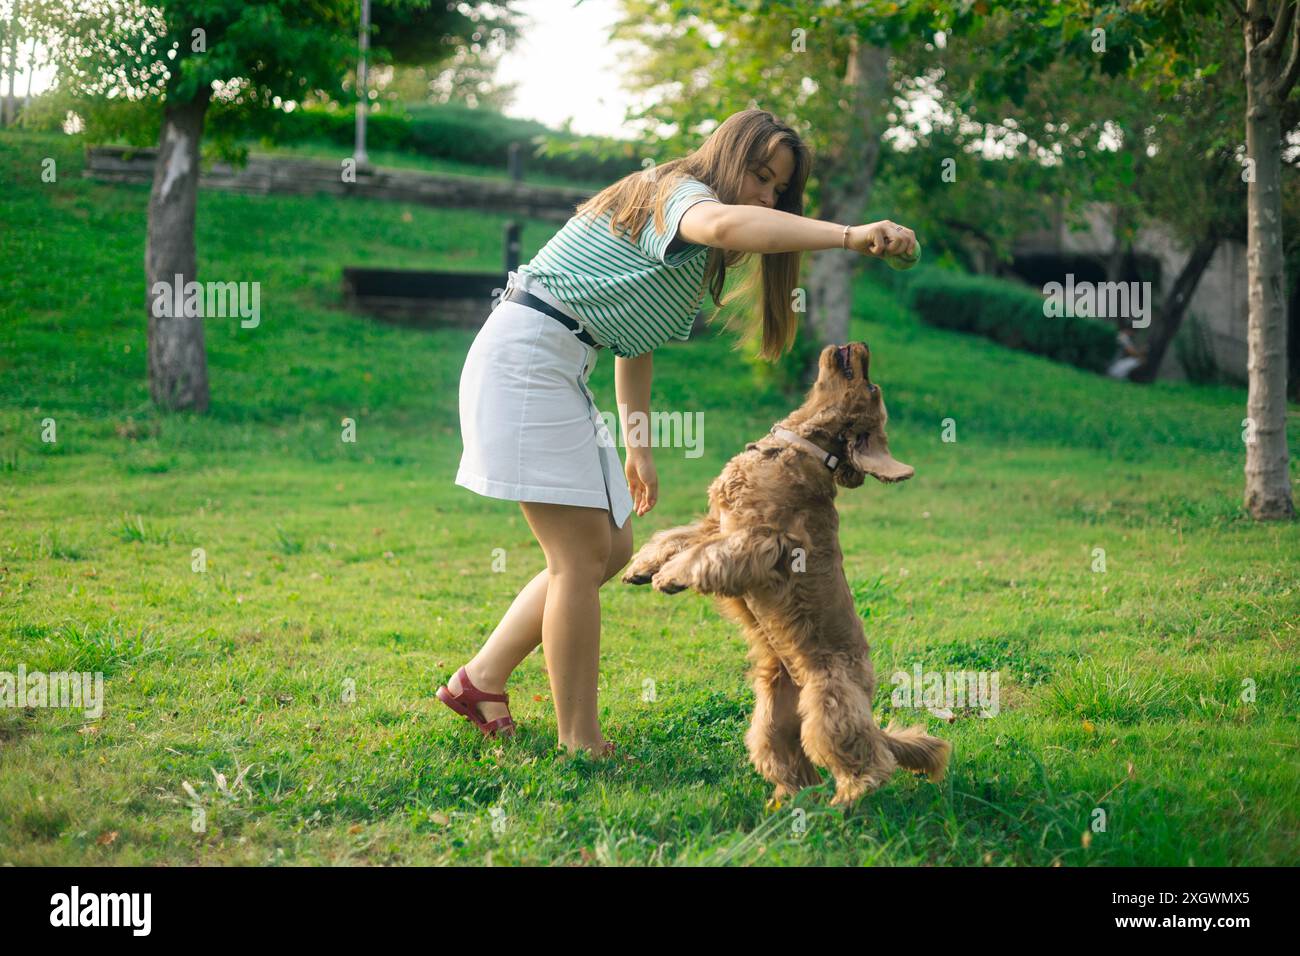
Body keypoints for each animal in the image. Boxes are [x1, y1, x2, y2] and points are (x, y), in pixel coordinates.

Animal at [624, 343, 951, 806]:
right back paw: (786, 805)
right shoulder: (717, 522)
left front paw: (671, 577)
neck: (797, 448)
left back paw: (844, 801)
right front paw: (642, 566)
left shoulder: (764, 542)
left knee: (870, 762)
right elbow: (679, 537)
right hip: (772, 724)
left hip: (829, 702)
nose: (861, 345)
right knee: (795, 768)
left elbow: (706, 554)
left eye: (871, 388)